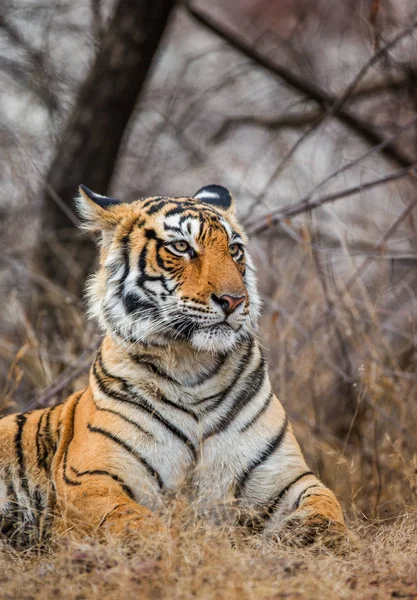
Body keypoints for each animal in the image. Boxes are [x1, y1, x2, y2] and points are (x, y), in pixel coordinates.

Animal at [0, 184, 350, 548]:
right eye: (181, 247)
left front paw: (318, 536)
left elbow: (325, 505)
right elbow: (136, 524)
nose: (234, 300)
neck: (193, 367)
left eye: (234, 249)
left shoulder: (285, 476)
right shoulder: (92, 478)